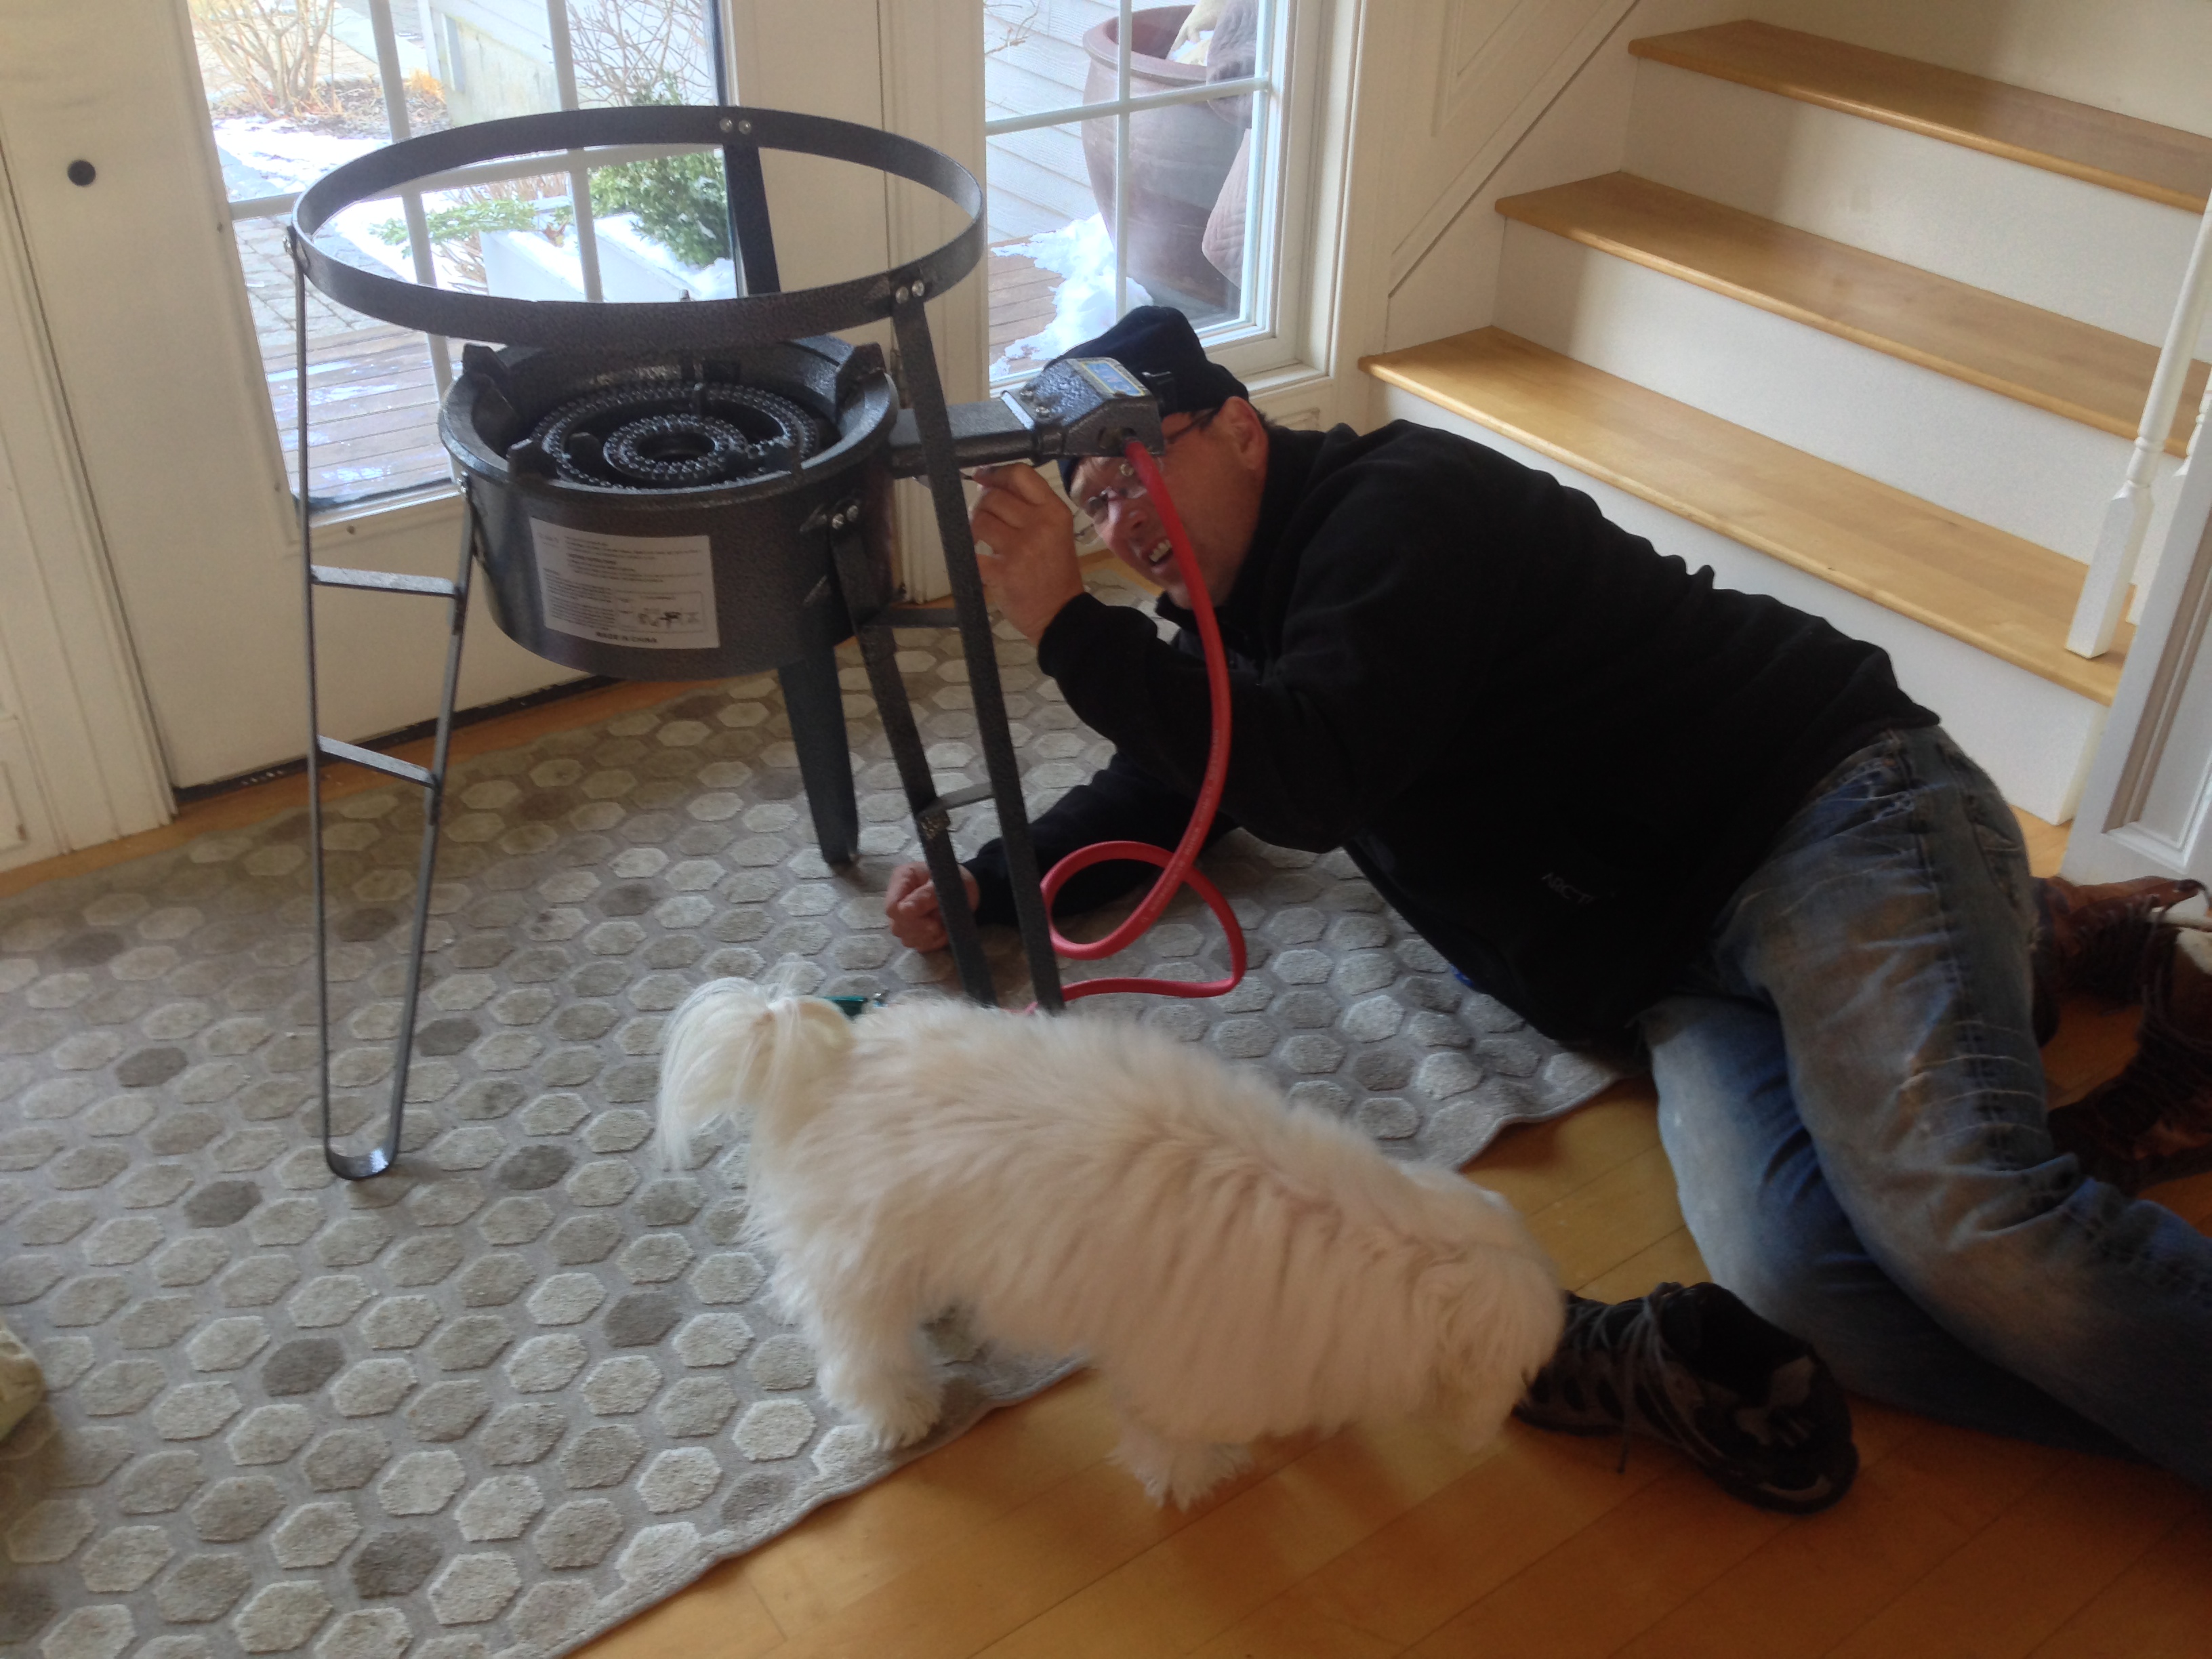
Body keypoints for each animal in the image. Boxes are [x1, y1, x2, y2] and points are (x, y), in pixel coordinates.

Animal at [656, 979, 1565, 1507]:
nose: (1504, 1421)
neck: (1380, 1242)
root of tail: (823, 1056)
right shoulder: (1188, 1373)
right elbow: (1173, 1436)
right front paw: (1199, 1479)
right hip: (858, 1256)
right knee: (861, 1350)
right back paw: (903, 1411)